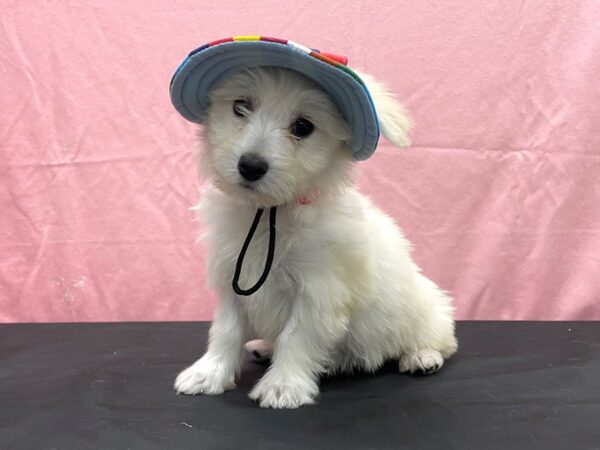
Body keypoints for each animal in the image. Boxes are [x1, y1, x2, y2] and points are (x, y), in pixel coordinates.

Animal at [176, 67, 458, 408]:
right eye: (241, 107)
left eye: (303, 127)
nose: (251, 165)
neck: (271, 212)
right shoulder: (233, 279)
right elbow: (226, 331)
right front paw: (208, 373)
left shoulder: (319, 290)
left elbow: (296, 336)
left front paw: (282, 386)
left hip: (426, 312)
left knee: (439, 340)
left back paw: (421, 357)